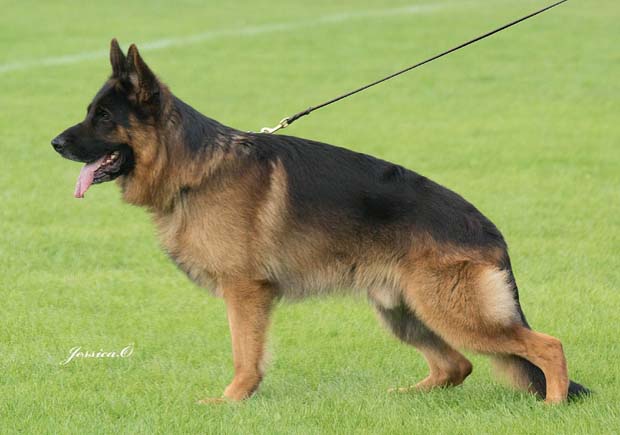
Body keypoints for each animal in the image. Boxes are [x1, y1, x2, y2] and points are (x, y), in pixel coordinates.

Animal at [51, 39, 589, 403]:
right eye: (90, 112)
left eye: (103, 117)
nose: (54, 143)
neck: (195, 169)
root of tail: (490, 230)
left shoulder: (246, 293)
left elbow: (245, 355)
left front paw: (231, 401)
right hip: (405, 312)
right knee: (457, 365)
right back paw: (408, 396)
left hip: (453, 312)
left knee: (549, 346)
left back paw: (553, 405)